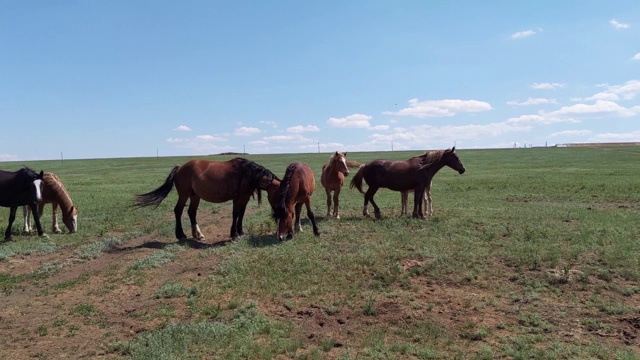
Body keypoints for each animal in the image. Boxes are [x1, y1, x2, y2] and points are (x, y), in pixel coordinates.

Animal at [135, 158, 278, 240]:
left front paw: (241, 232)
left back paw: (197, 234)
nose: (276, 216)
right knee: (178, 211)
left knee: (191, 212)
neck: (247, 173)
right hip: (184, 194)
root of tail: (180, 168)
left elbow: (241, 214)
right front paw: (234, 234)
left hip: (195, 196)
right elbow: (236, 214)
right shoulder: (237, 198)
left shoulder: (245, 197)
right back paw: (180, 235)